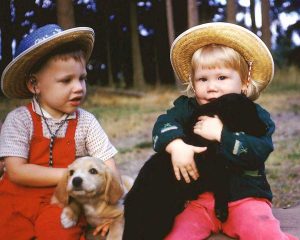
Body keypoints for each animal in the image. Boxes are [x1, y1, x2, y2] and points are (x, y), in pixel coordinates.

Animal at [123, 94, 266, 240]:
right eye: (249, 114)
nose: (266, 128)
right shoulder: (215, 169)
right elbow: (223, 187)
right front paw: (222, 211)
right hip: (158, 221)